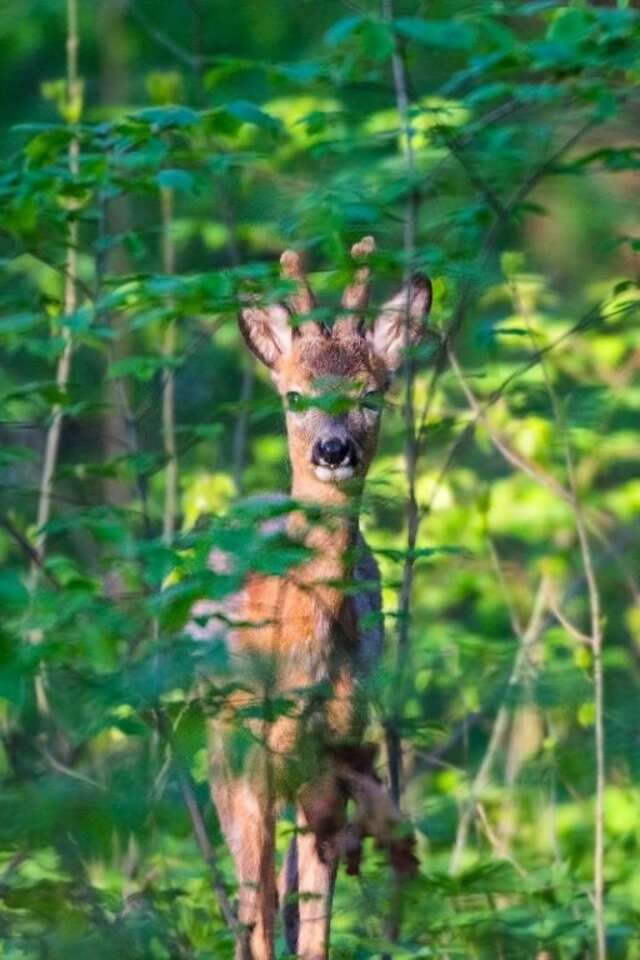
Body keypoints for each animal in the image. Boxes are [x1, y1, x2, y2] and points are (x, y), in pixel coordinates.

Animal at [202, 234, 432, 960]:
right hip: (219, 740)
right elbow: (258, 913)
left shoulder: (331, 756)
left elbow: (314, 918)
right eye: (295, 395)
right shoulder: (247, 753)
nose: (334, 450)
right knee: (251, 892)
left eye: (373, 394)